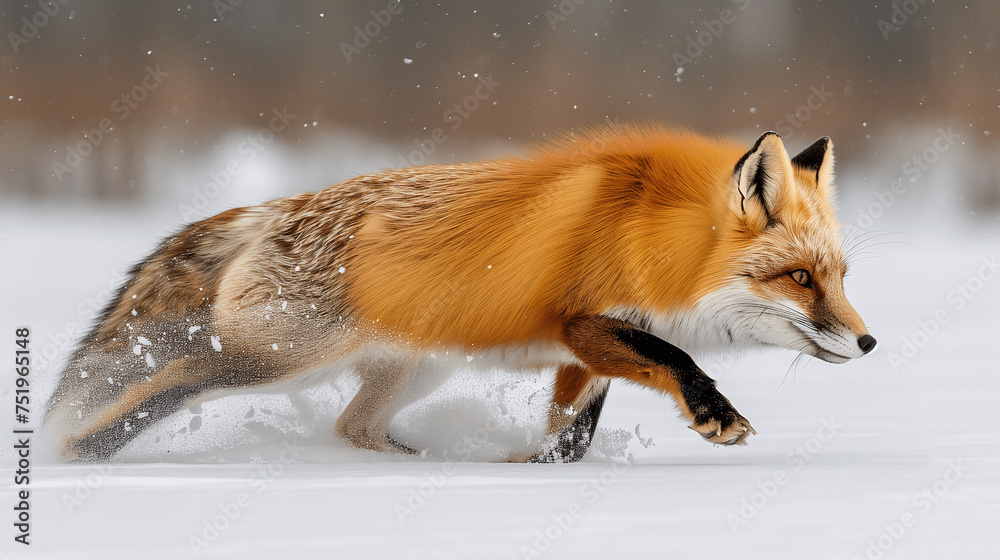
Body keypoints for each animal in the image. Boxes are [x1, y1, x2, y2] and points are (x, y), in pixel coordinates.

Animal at [45, 125, 876, 463]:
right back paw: (72, 457)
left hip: (414, 370)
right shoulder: (584, 324)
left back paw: (423, 464)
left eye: (837, 276)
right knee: (164, 386)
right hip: (275, 362)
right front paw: (716, 414)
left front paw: (532, 472)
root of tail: (279, 207)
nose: (869, 342)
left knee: (352, 427)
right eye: (800, 278)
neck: (651, 241)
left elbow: (571, 438)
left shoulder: (581, 352)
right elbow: (675, 358)